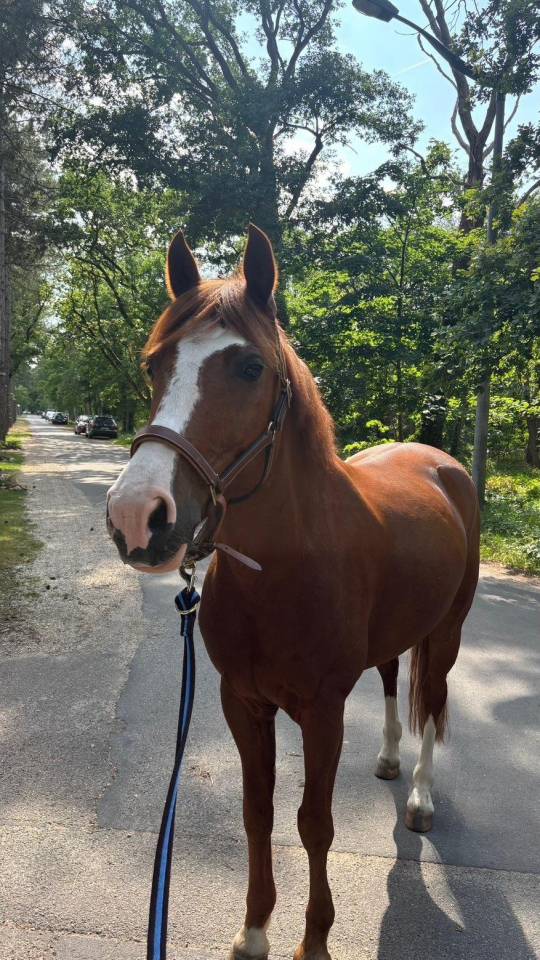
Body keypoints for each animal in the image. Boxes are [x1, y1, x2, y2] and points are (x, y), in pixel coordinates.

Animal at [107, 224, 480, 960]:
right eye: (153, 366)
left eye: (251, 368)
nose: (138, 515)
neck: (282, 569)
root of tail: (440, 462)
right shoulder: (242, 701)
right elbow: (258, 812)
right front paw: (253, 930)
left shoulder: (323, 710)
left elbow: (315, 823)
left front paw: (314, 940)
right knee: (392, 679)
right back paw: (389, 759)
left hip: (447, 630)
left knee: (433, 701)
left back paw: (421, 797)